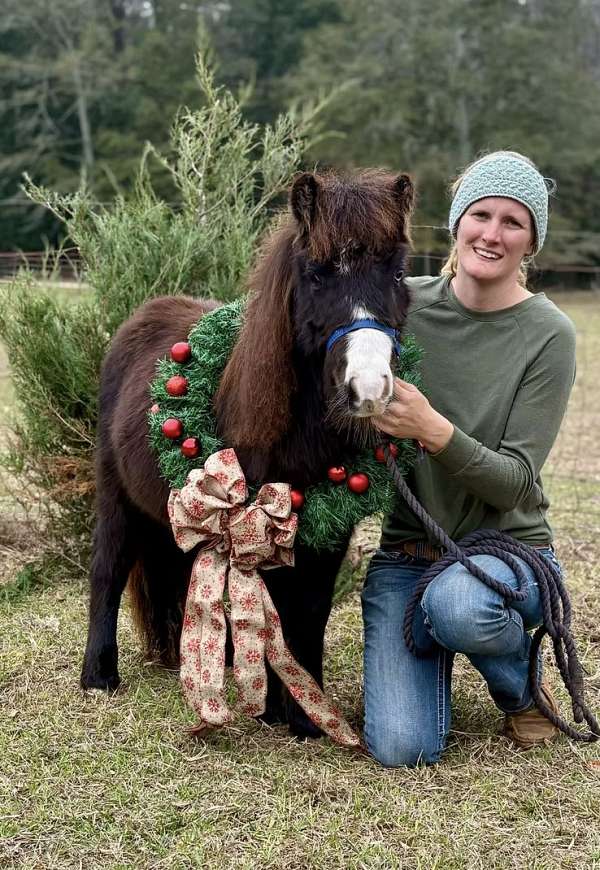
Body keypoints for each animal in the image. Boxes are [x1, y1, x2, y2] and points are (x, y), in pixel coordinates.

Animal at [80, 168, 414, 738]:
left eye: (396, 271)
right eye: (317, 275)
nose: (369, 388)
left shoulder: (326, 528)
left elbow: (310, 610)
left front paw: (305, 713)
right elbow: (274, 605)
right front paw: (284, 706)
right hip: (117, 497)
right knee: (108, 568)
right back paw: (99, 677)